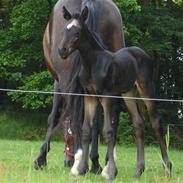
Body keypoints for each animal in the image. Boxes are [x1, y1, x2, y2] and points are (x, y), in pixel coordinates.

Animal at [33, 0, 125, 173]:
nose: (67, 160)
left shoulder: (58, 83)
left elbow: (55, 118)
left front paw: (41, 159)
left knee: (75, 118)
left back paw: (79, 161)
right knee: (106, 119)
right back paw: (100, 163)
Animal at [58, 6, 172, 181]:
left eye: (77, 32)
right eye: (66, 29)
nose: (62, 50)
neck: (92, 64)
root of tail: (143, 54)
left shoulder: (107, 97)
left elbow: (108, 131)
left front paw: (110, 172)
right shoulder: (89, 97)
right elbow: (86, 131)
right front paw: (82, 169)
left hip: (146, 89)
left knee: (156, 124)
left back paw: (167, 169)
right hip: (128, 93)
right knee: (138, 124)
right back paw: (138, 171)